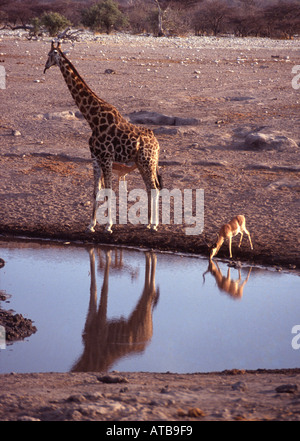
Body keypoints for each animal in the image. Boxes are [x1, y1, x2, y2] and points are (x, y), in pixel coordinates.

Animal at [42, 41, 162, 234]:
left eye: (49, 54)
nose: (45, 66)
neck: (92, 119)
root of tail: (157, 144)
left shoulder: (106, 158)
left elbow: (108, 190)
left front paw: (108, 226)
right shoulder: (95, 157)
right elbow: (95, 190)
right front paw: (91, 225)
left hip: (147, 161)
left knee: (154, 187)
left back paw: (154, 225)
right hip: (143, 163)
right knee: (150, 187)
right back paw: (148, 223)